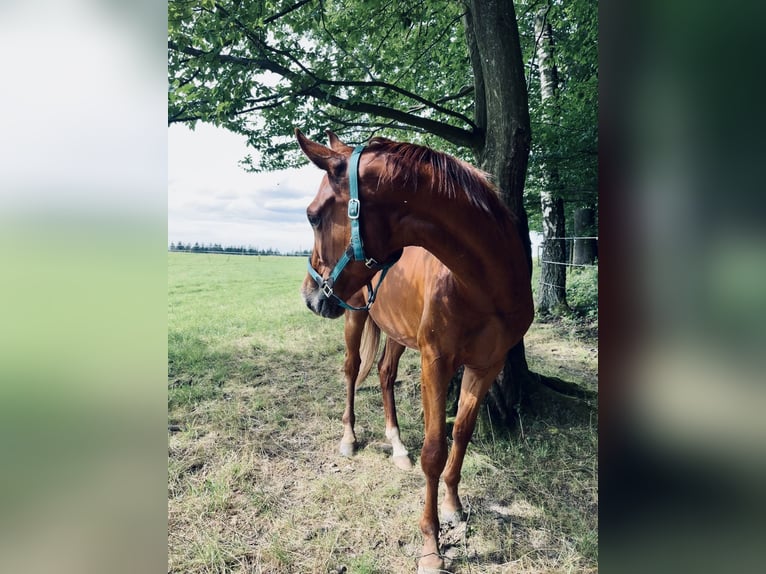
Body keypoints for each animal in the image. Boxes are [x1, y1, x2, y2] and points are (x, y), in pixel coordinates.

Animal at [296, 130, 536, 574]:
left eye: (313, 216)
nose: (309, 296)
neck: (484, 285)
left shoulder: (485, 366)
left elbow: (460, 435)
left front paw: (454, 506)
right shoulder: (436, 362)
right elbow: (434, 451)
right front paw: (430, 547)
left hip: (395, 332)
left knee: (384, 374)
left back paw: (396, 445)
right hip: (354, 319)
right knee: (352, 370)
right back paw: (349, 438)